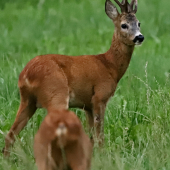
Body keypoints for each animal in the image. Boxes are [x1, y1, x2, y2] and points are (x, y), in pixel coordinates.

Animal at [2, 0, 143, 157]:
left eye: (139, 23)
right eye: (124, 25)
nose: (139, 37)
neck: (109, 65)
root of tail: (27, 74)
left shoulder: (87, 105)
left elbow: (91, 134)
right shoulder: (100, 96)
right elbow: (99, 132)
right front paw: (103, 154)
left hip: (27, 100)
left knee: (11, 133)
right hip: (57, 94)